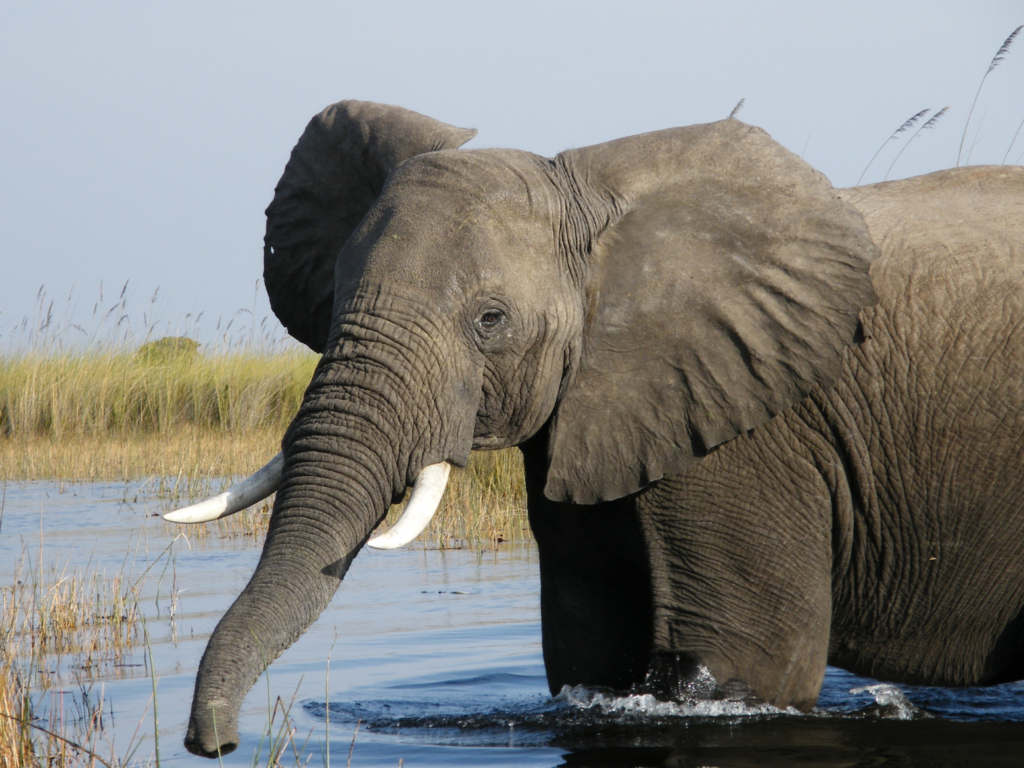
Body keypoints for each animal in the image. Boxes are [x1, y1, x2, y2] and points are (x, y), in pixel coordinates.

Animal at [163, 100, 1024, 757]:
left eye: (490, 320)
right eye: (336, 294)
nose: (215, 744)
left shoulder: (756, 428)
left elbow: (752, 661)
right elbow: (589, 646)